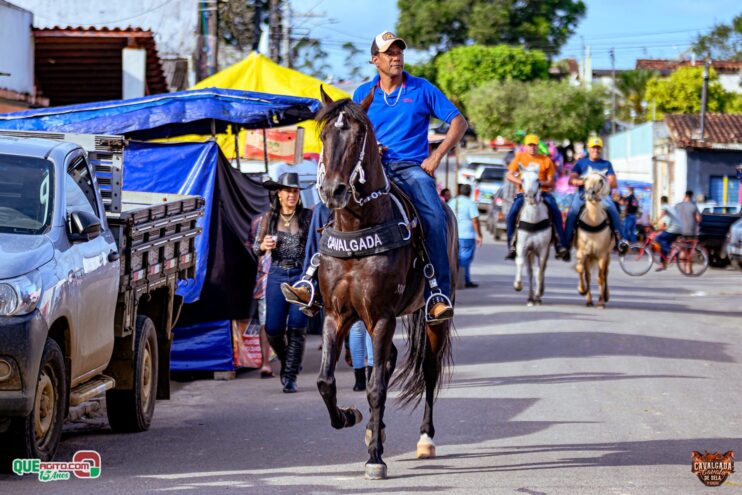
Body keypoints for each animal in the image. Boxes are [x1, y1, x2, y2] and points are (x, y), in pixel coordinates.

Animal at [313, 88, 458, 480]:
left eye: (358, 136)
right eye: (323, 135)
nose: (333, 191)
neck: (357, 227)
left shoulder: (381, 316)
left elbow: (376, 388)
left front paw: (375, 458)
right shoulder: (335, 314)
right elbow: (326, 381)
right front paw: (350, 417)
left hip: (433, 318)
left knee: (428, 370)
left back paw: (425, 440)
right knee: (390, 358)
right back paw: (371, 430)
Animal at [513, 165, 551, 306]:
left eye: (537, 179)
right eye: (522, 179)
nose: (530, 197)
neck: (533, 219)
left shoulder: (543, 248)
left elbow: (539, 270)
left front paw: (539, 293)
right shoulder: (522, 246)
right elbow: (519, 262)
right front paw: (518, 285)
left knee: (540, 270)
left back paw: (537, 296)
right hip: (530, 251)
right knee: (529, 272)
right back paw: (530, 298)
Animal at [574, 169, 614, 307]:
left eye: (601, 180)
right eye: (585, 179)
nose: (591, 194)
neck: (592, 222)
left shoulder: (602, 254)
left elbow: (600, 277)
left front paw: (601, 302)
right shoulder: (582, 253)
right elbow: (581, 270)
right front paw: (582, 290)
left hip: (608, 254)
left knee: (605, 273)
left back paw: (606, 296)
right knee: (588, 275)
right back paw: (588, 300)